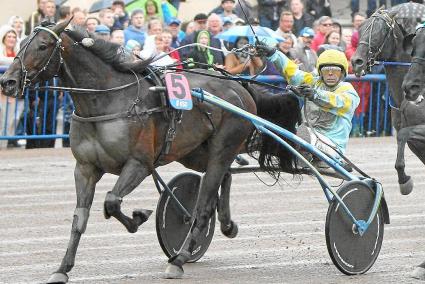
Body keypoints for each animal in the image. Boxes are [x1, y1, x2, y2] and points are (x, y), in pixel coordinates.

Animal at [0, 20, 298, 282]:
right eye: (21, 44)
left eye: (42, 45)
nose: (8, 82)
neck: (106, 101)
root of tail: (240, 85)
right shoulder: (84, 169)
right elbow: (79, 219)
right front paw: (62, 269)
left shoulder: (139, 163)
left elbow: (111, 201)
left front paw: (138, 217)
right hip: (194, 152)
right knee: (224, 178)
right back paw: (226, 225)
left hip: (223, 147)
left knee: (204, 205)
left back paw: (179, 259)